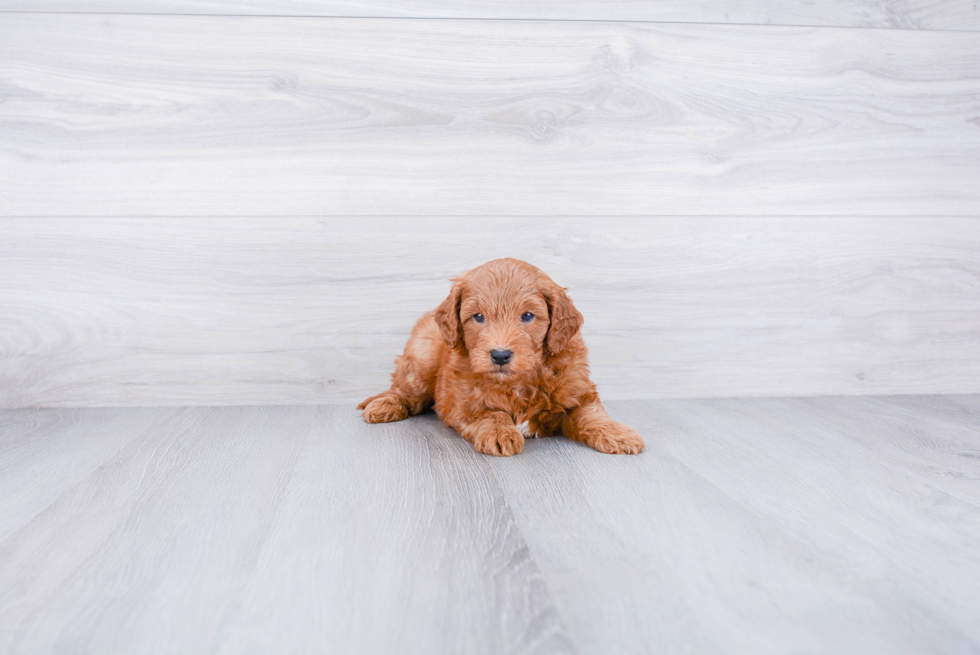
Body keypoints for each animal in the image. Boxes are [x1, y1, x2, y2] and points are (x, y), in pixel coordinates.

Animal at [358, 256, 644, 456]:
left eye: (527, 316)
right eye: (478, 317)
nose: (500, 355)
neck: (519, 381)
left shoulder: (579, 392)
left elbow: (592, 415)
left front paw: (619, 434)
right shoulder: (462, 404)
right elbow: (492, 413)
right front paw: (500, 433)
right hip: (422, 357)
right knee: (404, 390)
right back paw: (384, 406)